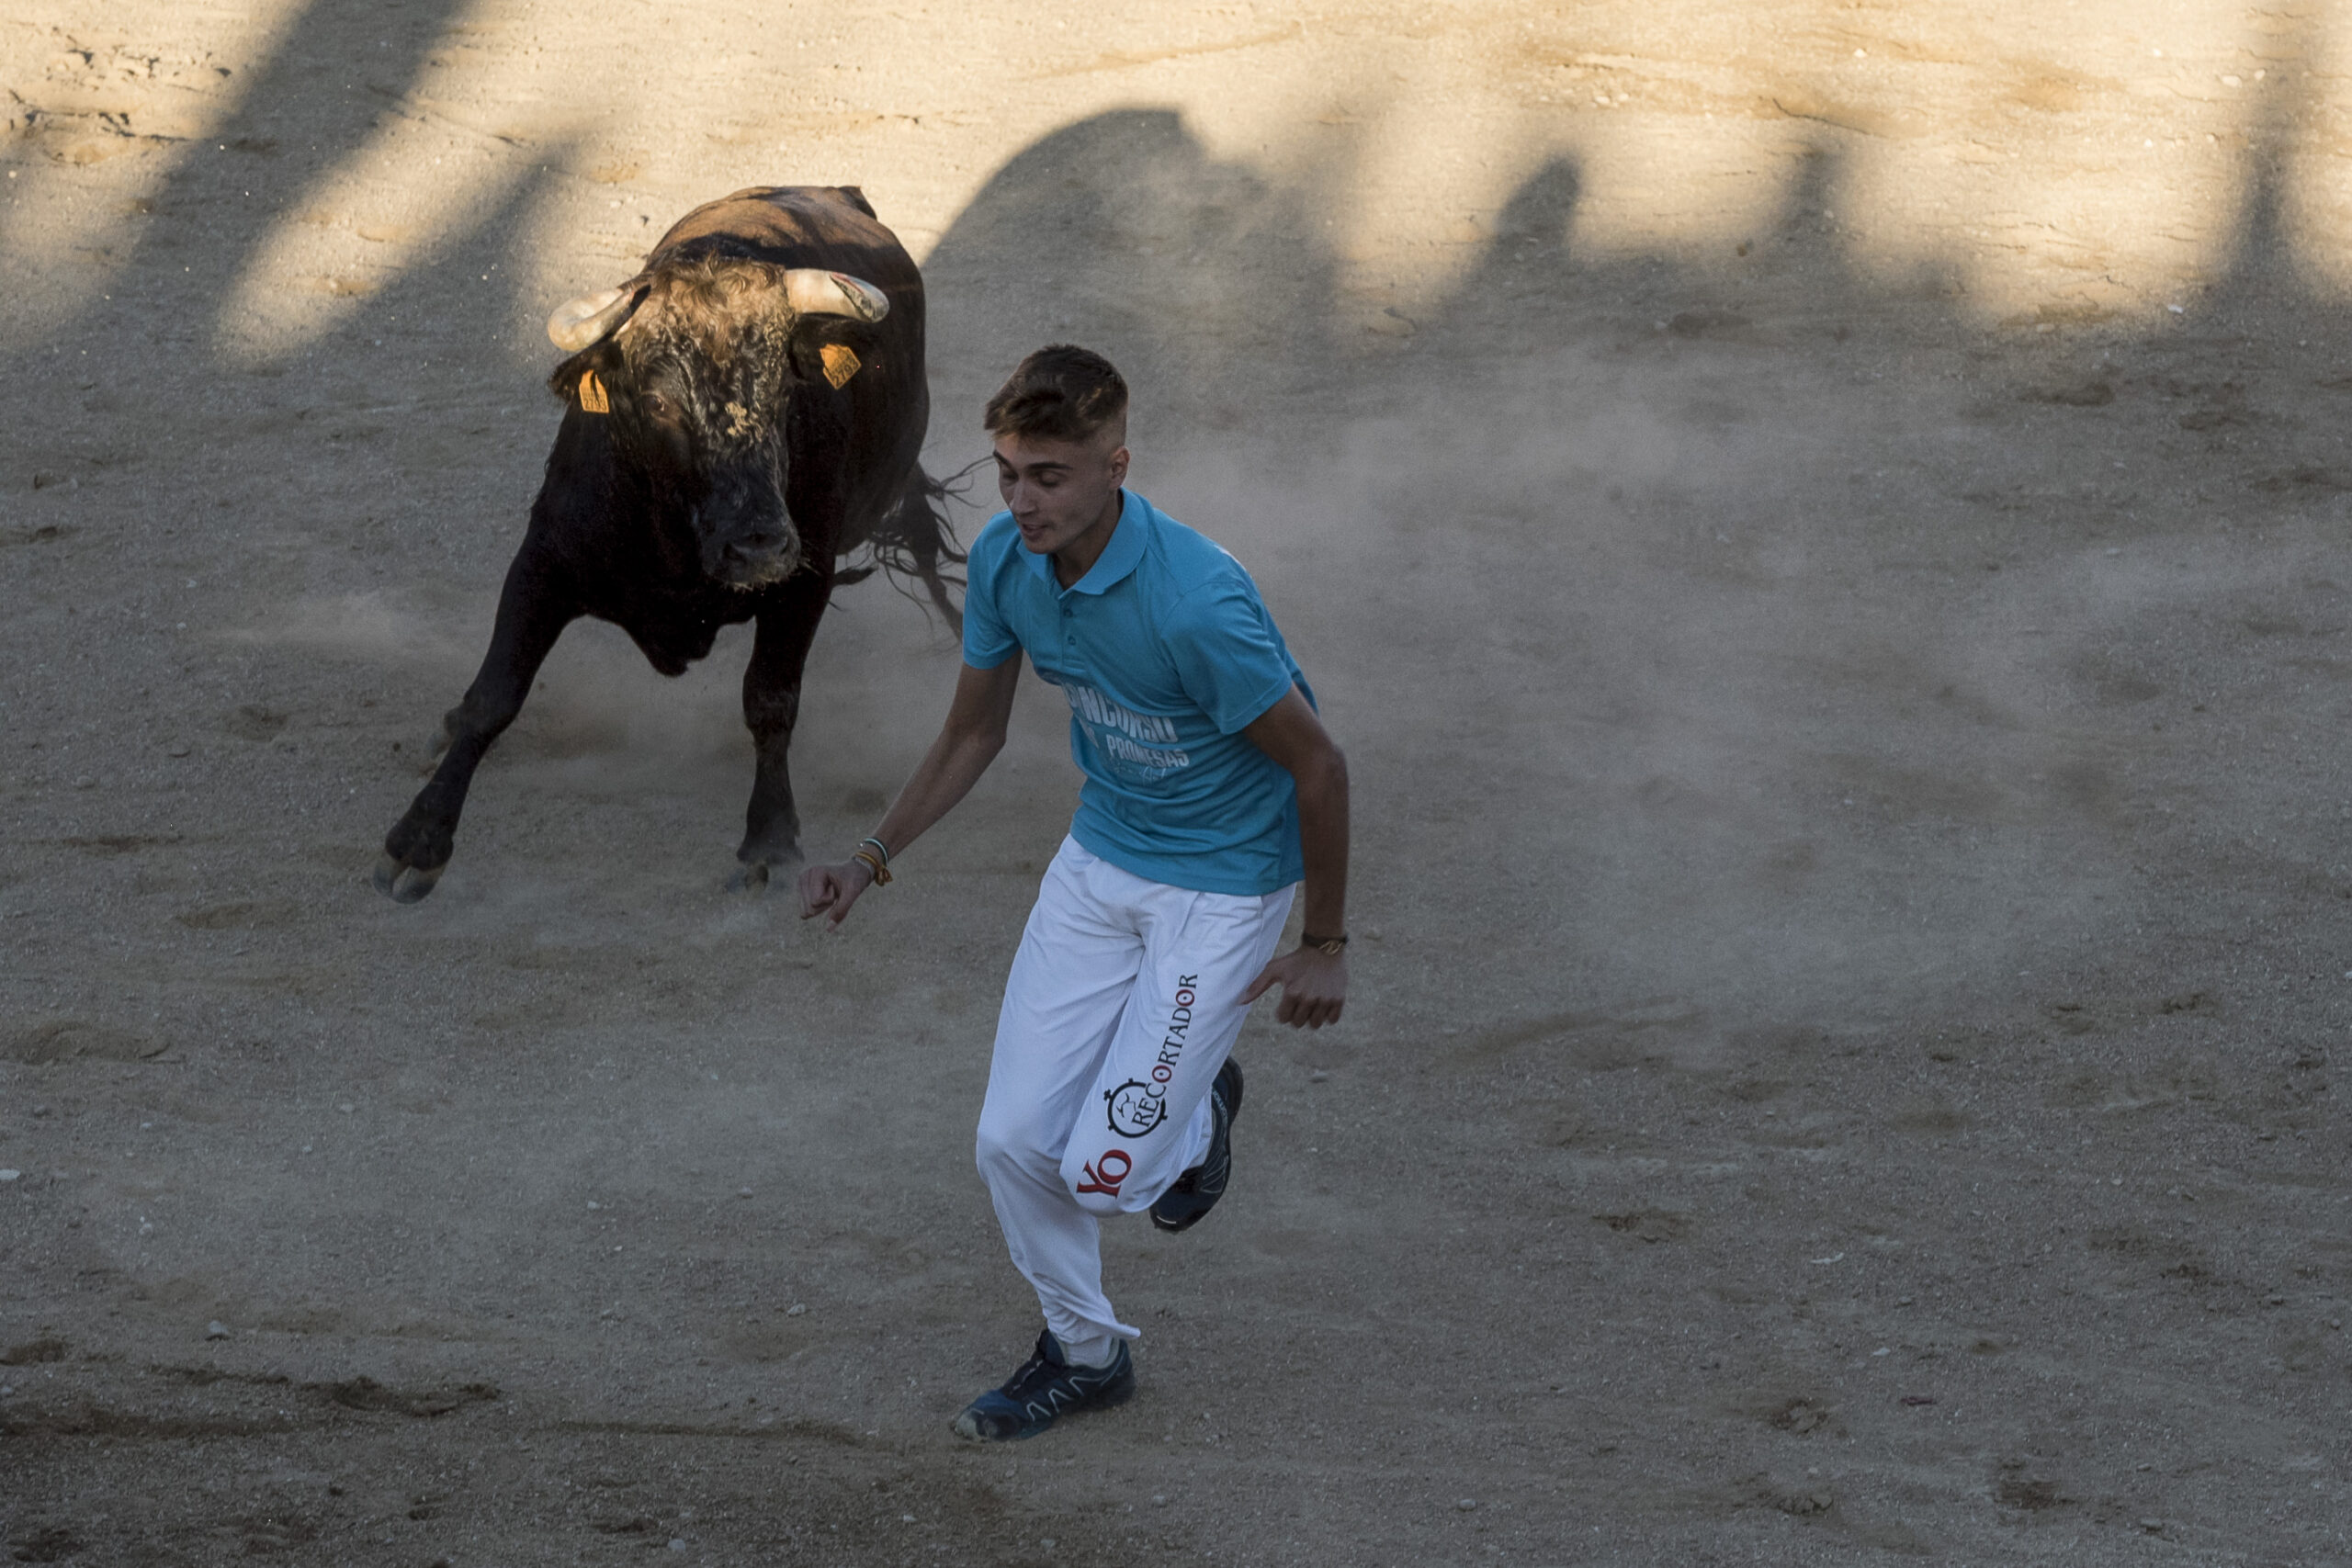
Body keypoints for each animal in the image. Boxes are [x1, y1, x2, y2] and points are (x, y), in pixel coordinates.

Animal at [371, 186, 959, 902]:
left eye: (784, 391)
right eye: (657, 404)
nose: (759, 547)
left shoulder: (804, 580)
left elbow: (770, 701)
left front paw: (770, 839)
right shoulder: (545, 558)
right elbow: (496, 693)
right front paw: (419, 839)